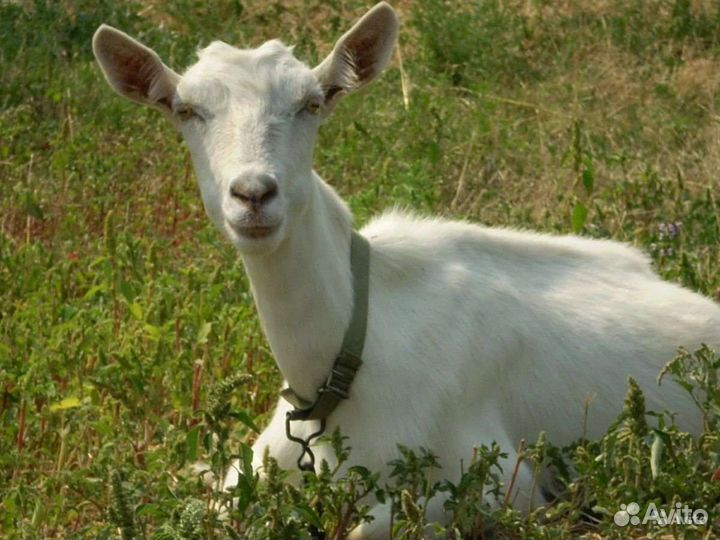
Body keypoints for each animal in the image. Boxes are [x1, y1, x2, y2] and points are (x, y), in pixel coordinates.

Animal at [92, 3, 720, 537]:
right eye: (185, 110)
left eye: (311, 104)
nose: (253, 194)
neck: (347, 353)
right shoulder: (260, 459)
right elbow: (212, 504)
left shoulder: (494, 480)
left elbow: (366, 527)